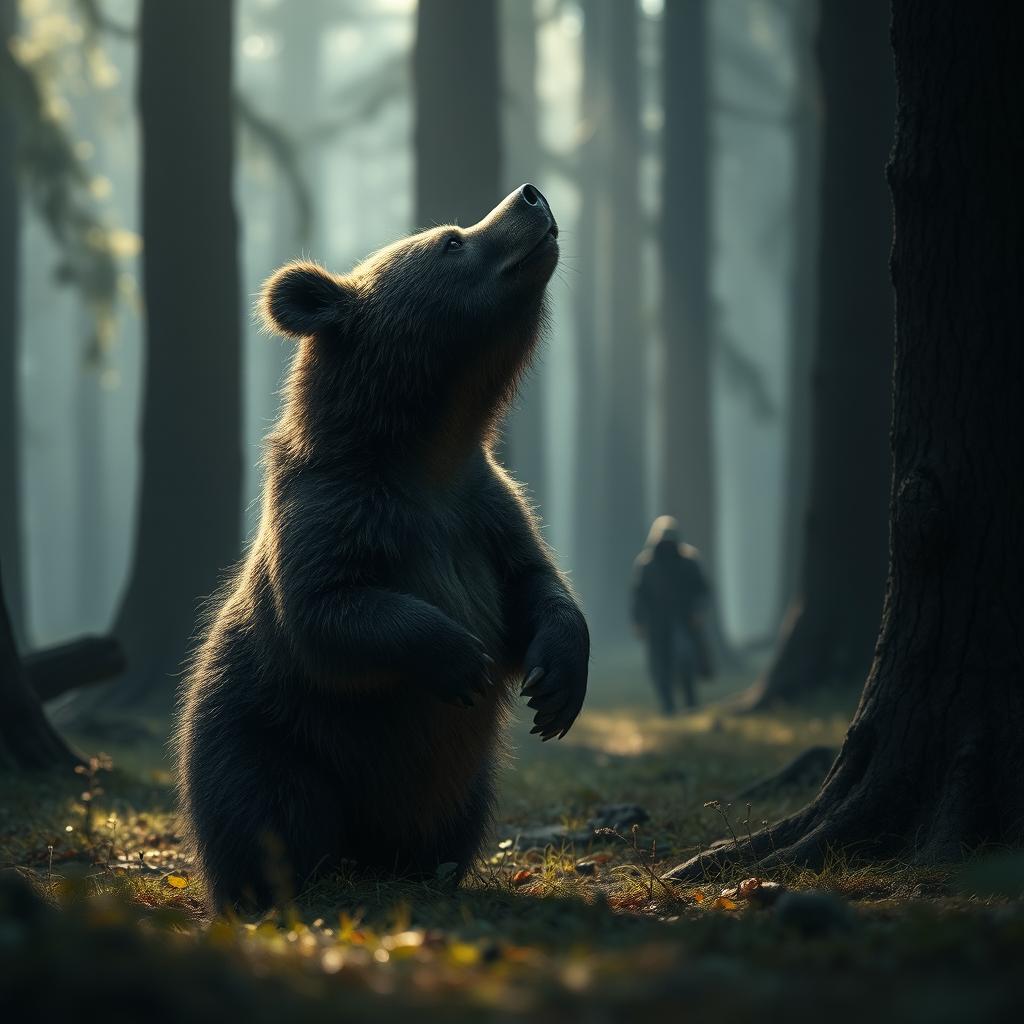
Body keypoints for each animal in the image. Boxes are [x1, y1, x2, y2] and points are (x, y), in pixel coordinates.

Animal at [173, 183, 590, 913]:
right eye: (450, 240)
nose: (531, 197)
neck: (427, 449)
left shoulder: (485, 510)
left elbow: (538, 584)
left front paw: (555, 689)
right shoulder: (336, 513)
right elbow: (330, 611)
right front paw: (462, 659)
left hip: (464, 782)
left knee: (453, 820)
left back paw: (425, 867)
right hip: (267, 734)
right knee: (270, 811)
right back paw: (283, 883)